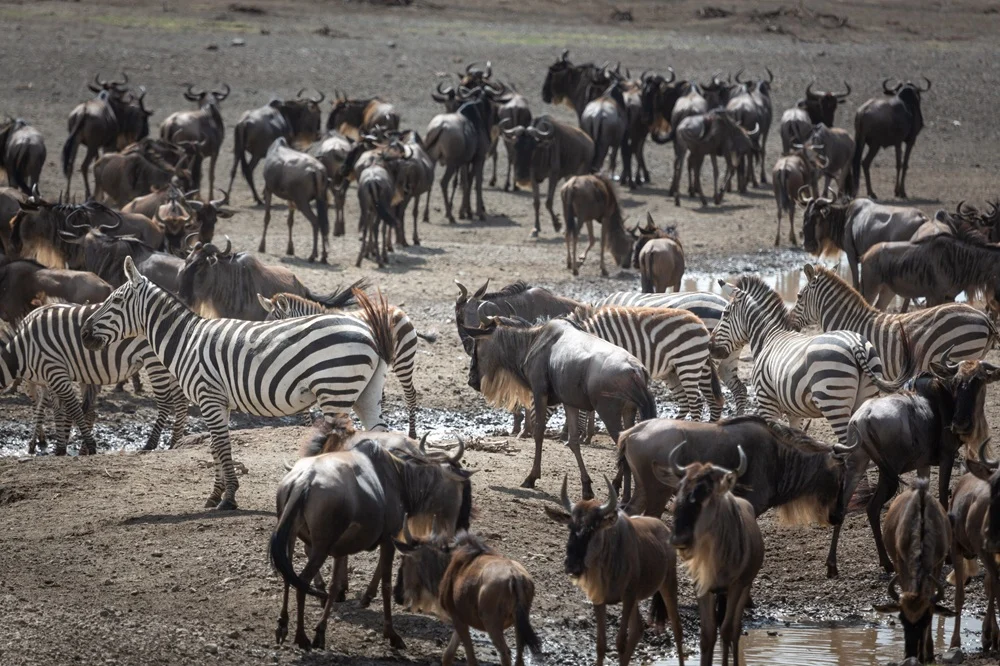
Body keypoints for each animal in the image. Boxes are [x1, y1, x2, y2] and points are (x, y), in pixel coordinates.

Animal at [0, 303, 188, 455]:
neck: (24, 350)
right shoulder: (51, 379)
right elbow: (59, 410)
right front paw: (60, 446)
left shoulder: (53, 370)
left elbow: (67, 409)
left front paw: (77, 446)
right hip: (172, 364)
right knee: (181, 402)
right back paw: (175, 443)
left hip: (154, 360)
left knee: (167, 402)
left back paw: (151, 444)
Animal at [80, 256, 396, 510]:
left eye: (115, 301)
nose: (83, 333)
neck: (186, 341)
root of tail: (367, 329)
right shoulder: (219, 402)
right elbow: (215, 448)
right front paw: (215, 495)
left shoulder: (209, 396)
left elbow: (221, 447)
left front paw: (228, 498)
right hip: (365, 393)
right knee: (378, 435)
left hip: (335, 389)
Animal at [711, 275, 913, 444]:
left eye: (725, 314)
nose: (711, 347)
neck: (770, 336)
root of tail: (856, 345)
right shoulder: (794, 412)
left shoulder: (766, 402)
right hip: (865, 397)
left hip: (834, 401)